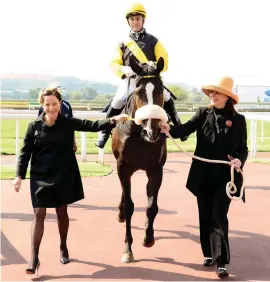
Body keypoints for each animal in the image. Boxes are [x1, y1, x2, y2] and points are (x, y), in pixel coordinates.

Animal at [110, 56, 168, 264]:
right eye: (138, 91)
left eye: (160, 89)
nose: (153, 130)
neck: (140, 135)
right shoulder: (123, 167)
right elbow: (129, 206)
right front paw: (128, 249)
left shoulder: (156, 169)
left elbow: (152, 207)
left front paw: (148, 237)